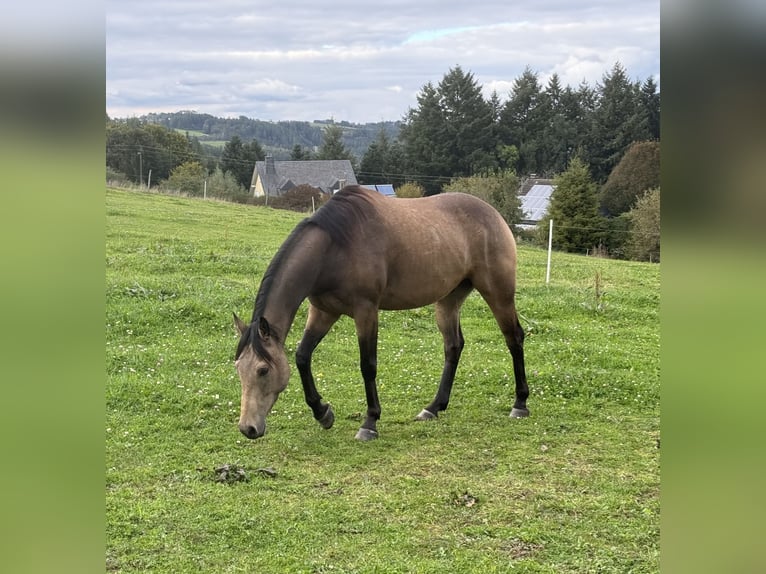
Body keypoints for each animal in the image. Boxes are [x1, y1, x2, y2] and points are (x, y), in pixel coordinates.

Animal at [234, 184, 532, 440]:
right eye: (238, 368)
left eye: (262, 370)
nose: (248, 428)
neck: (334, 248)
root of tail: (494, 214)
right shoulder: (323, 311)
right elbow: (302, 356)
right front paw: (323, 413)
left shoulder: (366, 311)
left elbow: (368, 365)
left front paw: (370, 422)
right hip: (448, 300)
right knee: (453, 346)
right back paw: (433, 407)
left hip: (498, 293)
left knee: (514, 338)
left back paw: (520, 403)